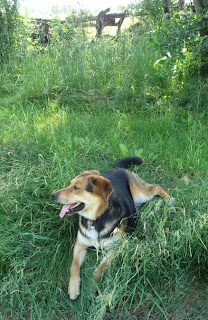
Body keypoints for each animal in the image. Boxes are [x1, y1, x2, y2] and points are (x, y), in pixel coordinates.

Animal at [52, 156, 174, 298]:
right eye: (70, 184)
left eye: (76, 187)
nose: (53, 195)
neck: (96, 219)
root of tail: (118, 168)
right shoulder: (80, 244)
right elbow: (74, 266)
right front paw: (73, 288)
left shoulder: (115, 249)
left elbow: (99, 269)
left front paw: (91, 287)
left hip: (142, 194)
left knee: (156, 187)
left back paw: (169, 198)